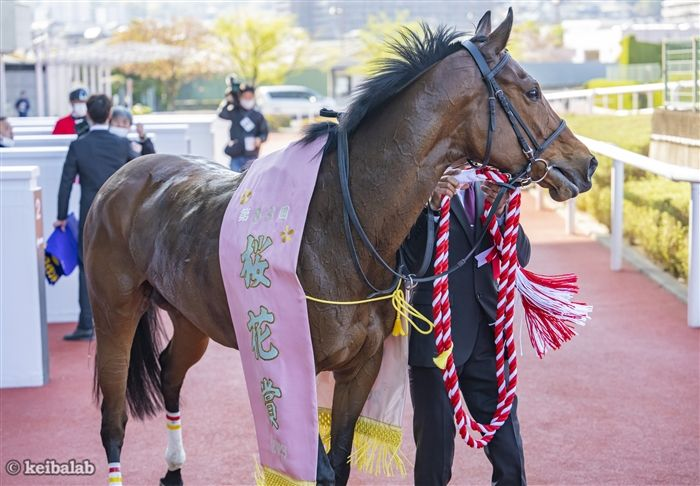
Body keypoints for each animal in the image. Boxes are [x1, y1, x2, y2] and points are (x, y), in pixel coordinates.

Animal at [87, 9, 597, 486]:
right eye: (532, 90)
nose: (586, 163)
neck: (339, 226)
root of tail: (126, 175)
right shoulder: (294, 365)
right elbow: (318, 468)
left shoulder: (362, 365)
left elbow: (340, 463)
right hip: (114, 313)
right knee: (113, 420)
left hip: (190, 316)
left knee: (170, 373)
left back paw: (174, 468)